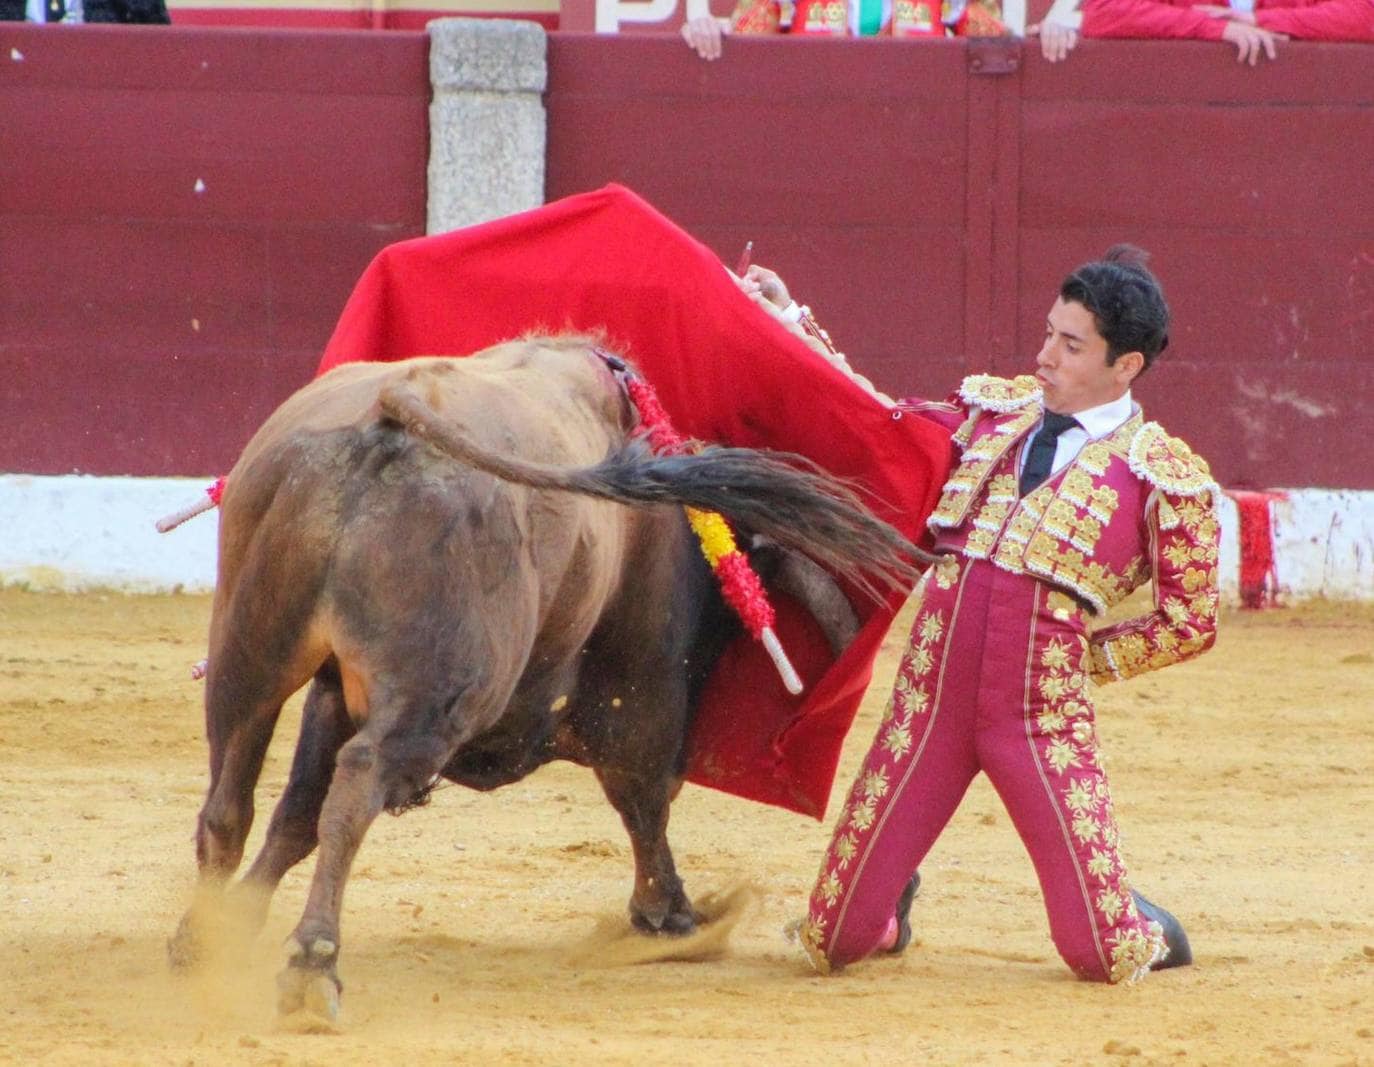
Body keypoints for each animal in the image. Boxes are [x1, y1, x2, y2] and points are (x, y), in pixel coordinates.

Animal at [169, 337, 923, 1021]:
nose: (903, 909)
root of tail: (391, 410)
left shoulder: (333, 688)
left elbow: (296, 813)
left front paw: (236, 920)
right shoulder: (640, 689)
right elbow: (643, 797)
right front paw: (671, 915)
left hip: (247, 653)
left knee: (231, 797)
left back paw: (202, 941)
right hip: (439, 694)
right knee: (357, 781)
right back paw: (313, 963)